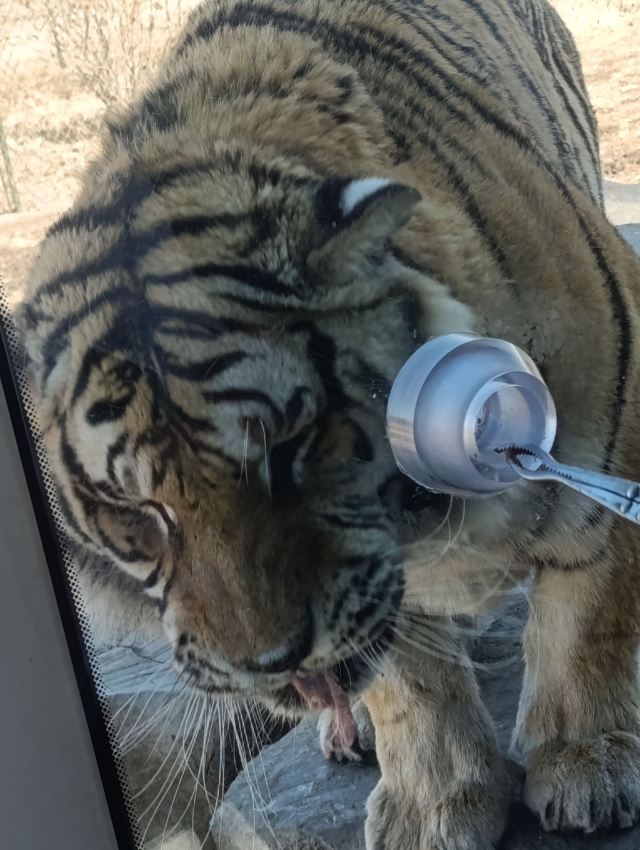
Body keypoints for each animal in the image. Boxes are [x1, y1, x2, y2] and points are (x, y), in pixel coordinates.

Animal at [17, 0, 640, 846]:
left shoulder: (614, 427)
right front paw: (434, 806)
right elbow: (408, 679)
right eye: (137, 509)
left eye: (288, 449)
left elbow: (584, 613)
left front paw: (583, 764)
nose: (268, 663)